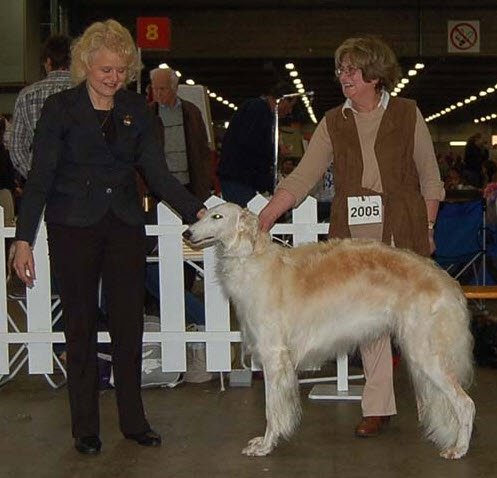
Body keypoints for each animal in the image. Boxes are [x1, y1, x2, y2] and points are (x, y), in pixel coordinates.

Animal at [182, 202, 472, 460]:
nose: (187, 233)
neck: (253, 259)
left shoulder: (274, 356)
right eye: (205, 214)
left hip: (426, 353)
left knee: (466, 403)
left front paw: (265, 445)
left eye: (217, 216)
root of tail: (449, 283)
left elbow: (271, 409)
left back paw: (459, 449)